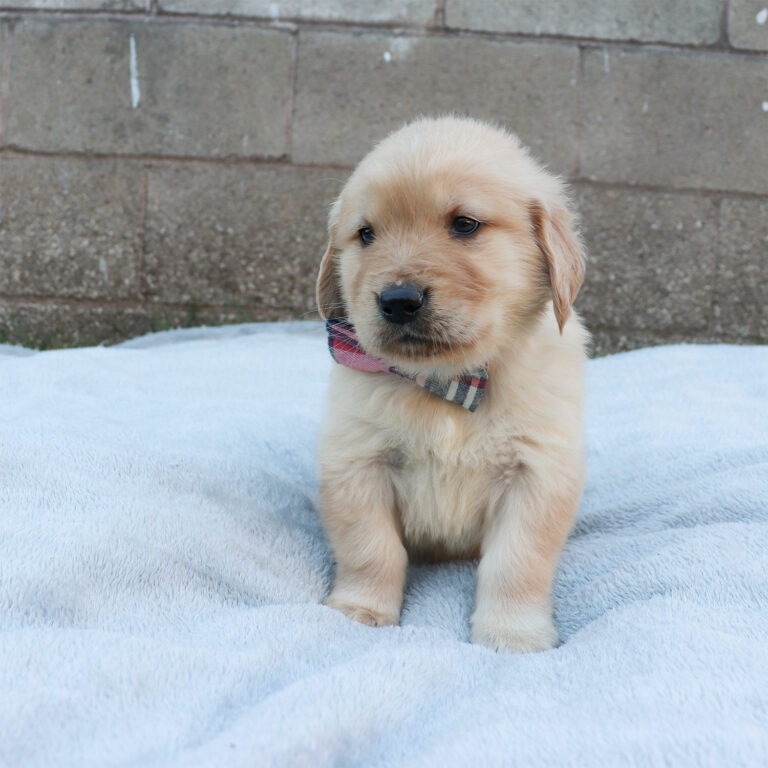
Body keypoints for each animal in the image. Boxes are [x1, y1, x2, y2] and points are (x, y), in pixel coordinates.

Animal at [316, 115, 584, 656]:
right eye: (366, 234)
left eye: (464, 224)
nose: (397, 300)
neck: (450, 382)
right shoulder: (357, 462)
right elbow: (371, 549)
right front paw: (360, 610)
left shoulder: (537, 475)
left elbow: (516, 564)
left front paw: (513, 635)